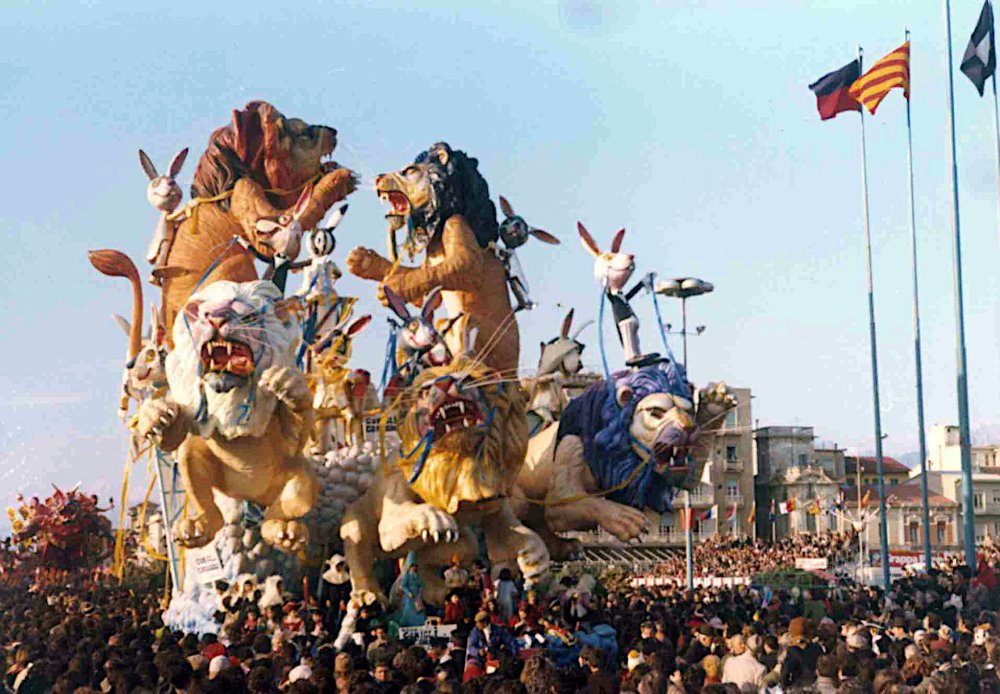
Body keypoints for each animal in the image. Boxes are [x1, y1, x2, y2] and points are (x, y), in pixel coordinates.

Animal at [346, 142, 516, 378]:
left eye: (409, 170)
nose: (378, 178)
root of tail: (514, 373)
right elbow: (419, 277)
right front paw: (362, 260)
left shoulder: (457, 225)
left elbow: (466, 266)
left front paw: (394, 286)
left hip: (482, 331)